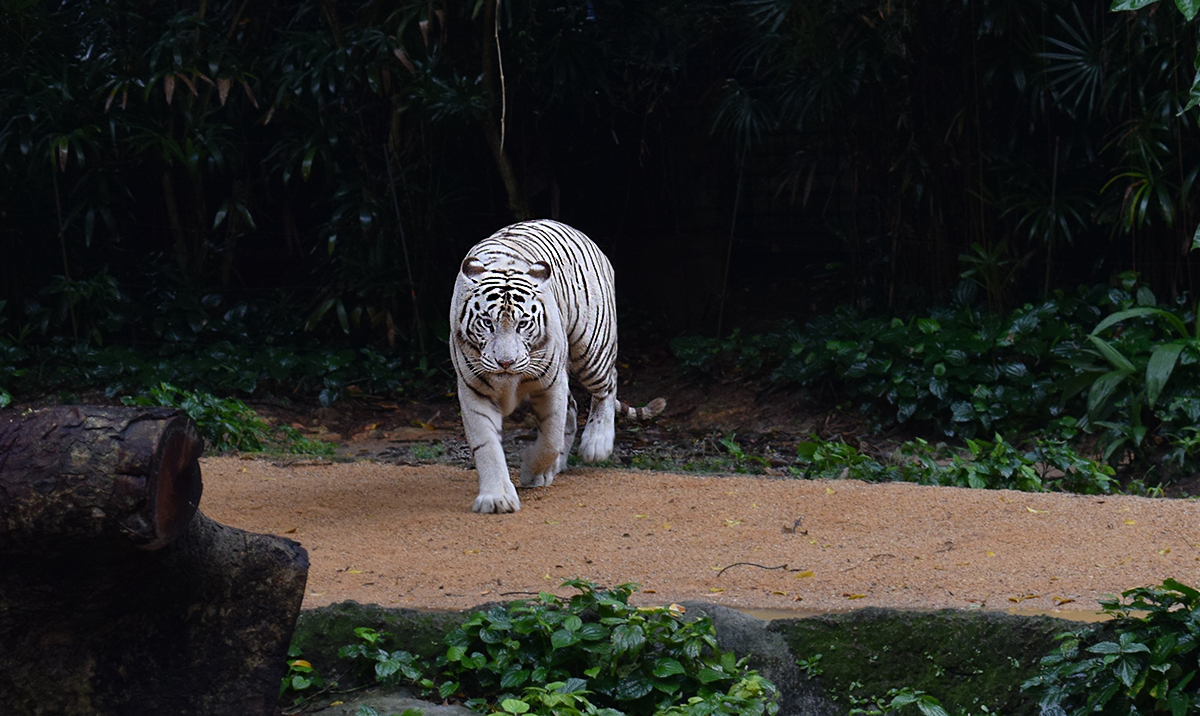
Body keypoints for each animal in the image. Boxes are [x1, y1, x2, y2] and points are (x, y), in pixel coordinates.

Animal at [453, 220, 672, 510]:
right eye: (487, 322)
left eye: (523, 323)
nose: (506, 362)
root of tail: (571, 228)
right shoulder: (473, 389)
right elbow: (486, 445)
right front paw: (497, 498)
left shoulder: (551, 383)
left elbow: (550, 439)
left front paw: (532, 471)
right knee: (575, 405)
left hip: (591, 346)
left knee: (607, 384)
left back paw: (596, 443)